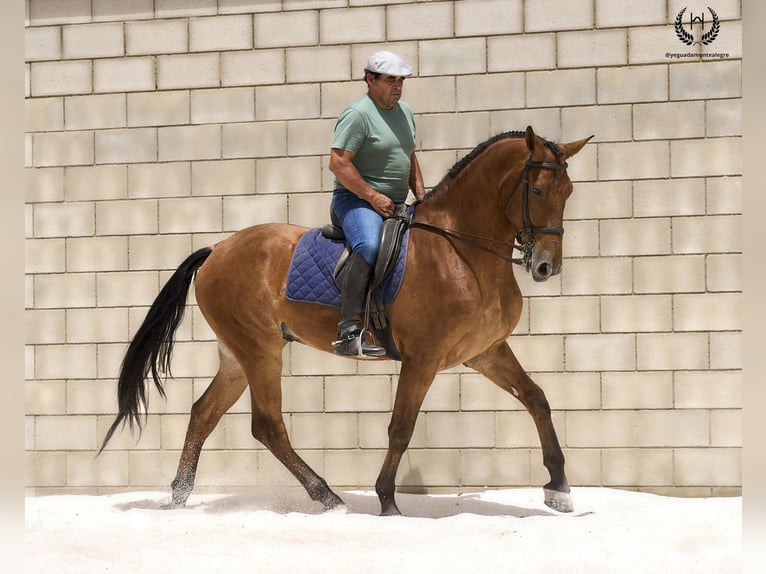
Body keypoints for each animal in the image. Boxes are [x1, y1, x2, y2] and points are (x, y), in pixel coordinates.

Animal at [102, 125, 592, 516]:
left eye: (568, 193)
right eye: (536, 191)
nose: (546, 266)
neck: (461, 251)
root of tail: (217, 250)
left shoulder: (485, 352)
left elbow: (537, 399)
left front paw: (559, 488)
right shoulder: (423, 359)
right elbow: (401, 427)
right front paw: (388, 501)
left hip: (237, 355)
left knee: (204, 413)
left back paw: (179, 497)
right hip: (259, 349)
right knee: (267, 425)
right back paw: (326, 496)